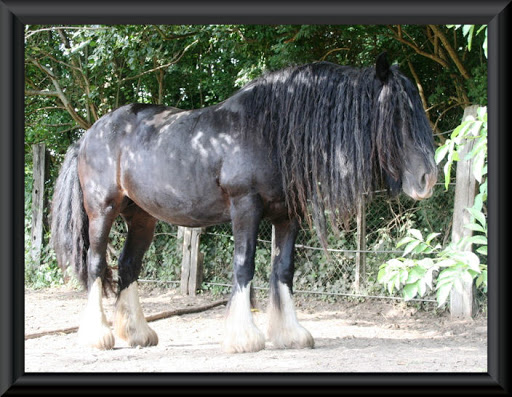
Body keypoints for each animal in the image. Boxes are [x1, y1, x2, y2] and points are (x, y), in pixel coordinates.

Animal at [51, 53, 436, 352]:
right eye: (398, 113)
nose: (428, 178)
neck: (270, 130)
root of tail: (88, 135)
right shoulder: (245, 207)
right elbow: (244, 266)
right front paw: (244, 338)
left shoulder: (287, 216)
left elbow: (283, 270)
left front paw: (290, 334)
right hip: (102, 210)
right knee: (97, 264)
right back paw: (98, 336)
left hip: (142, 218)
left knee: (129, 266)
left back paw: (137, 334)